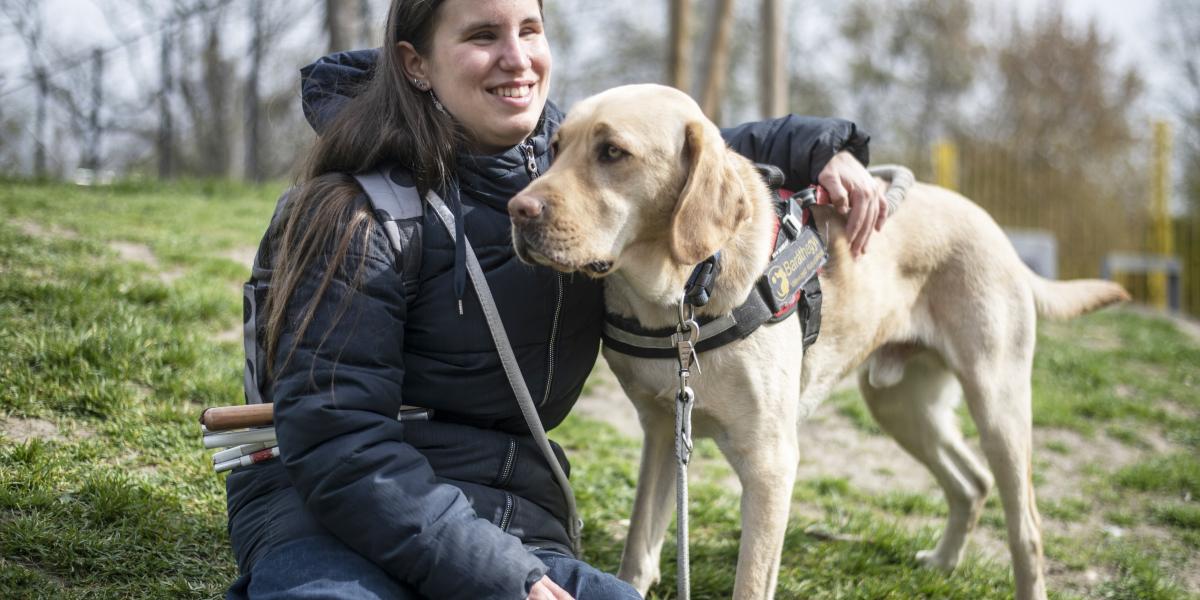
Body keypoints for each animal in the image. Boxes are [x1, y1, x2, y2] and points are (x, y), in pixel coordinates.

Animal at [506, 84, 1123, 600]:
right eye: (555, 146)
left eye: (612, 152)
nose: (518, 210)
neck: (681, 295)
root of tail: (995, 229)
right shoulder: (661, 432)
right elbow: (639, 550)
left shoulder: (771, 463)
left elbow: (750, 582)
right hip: (901, 405)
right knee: (971, 484)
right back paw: (944, 562)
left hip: (997, 403)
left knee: (1027, 528)